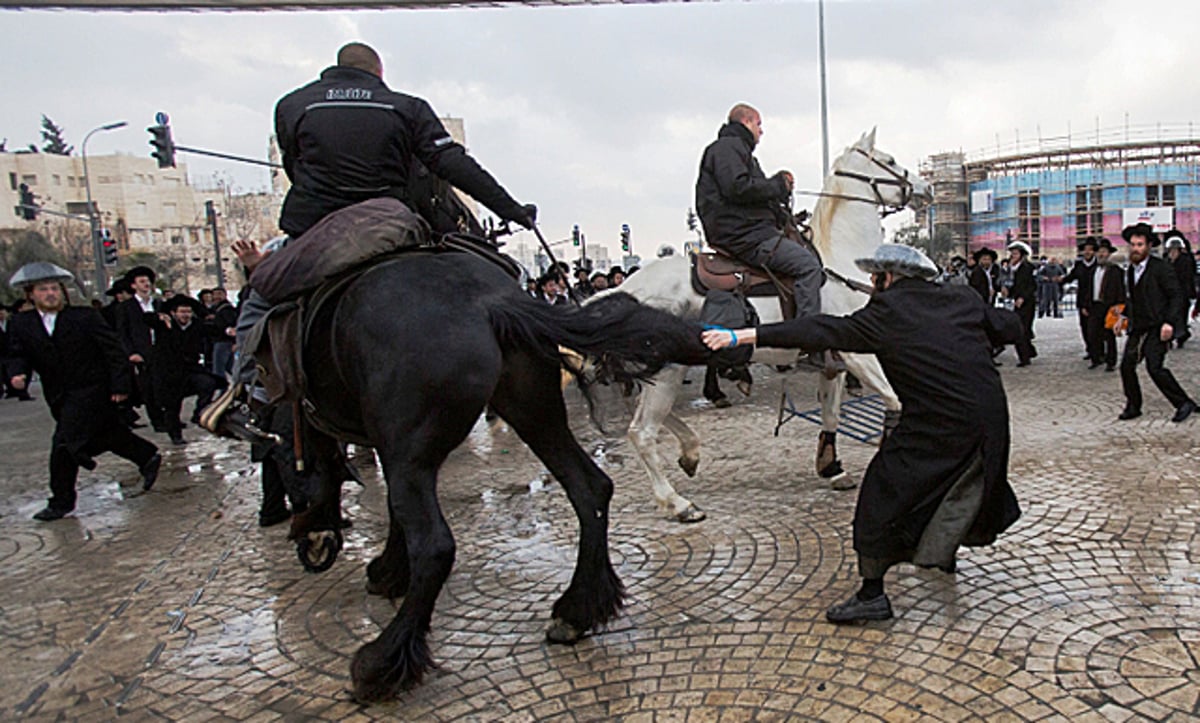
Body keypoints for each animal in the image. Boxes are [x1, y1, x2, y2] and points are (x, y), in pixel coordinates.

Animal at [614, 129, 931, 521]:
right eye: (888, 160)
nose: (926, 187)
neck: (841, 260)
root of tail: (626, 289)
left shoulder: (834, 365)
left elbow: (830, 415)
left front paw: (831, 468)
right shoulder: (860, 356)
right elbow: (895, 401)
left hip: (666, 370)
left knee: (648, 420)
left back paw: (690, 453)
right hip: (667, 370)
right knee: (642, 431)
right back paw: (677, 503)